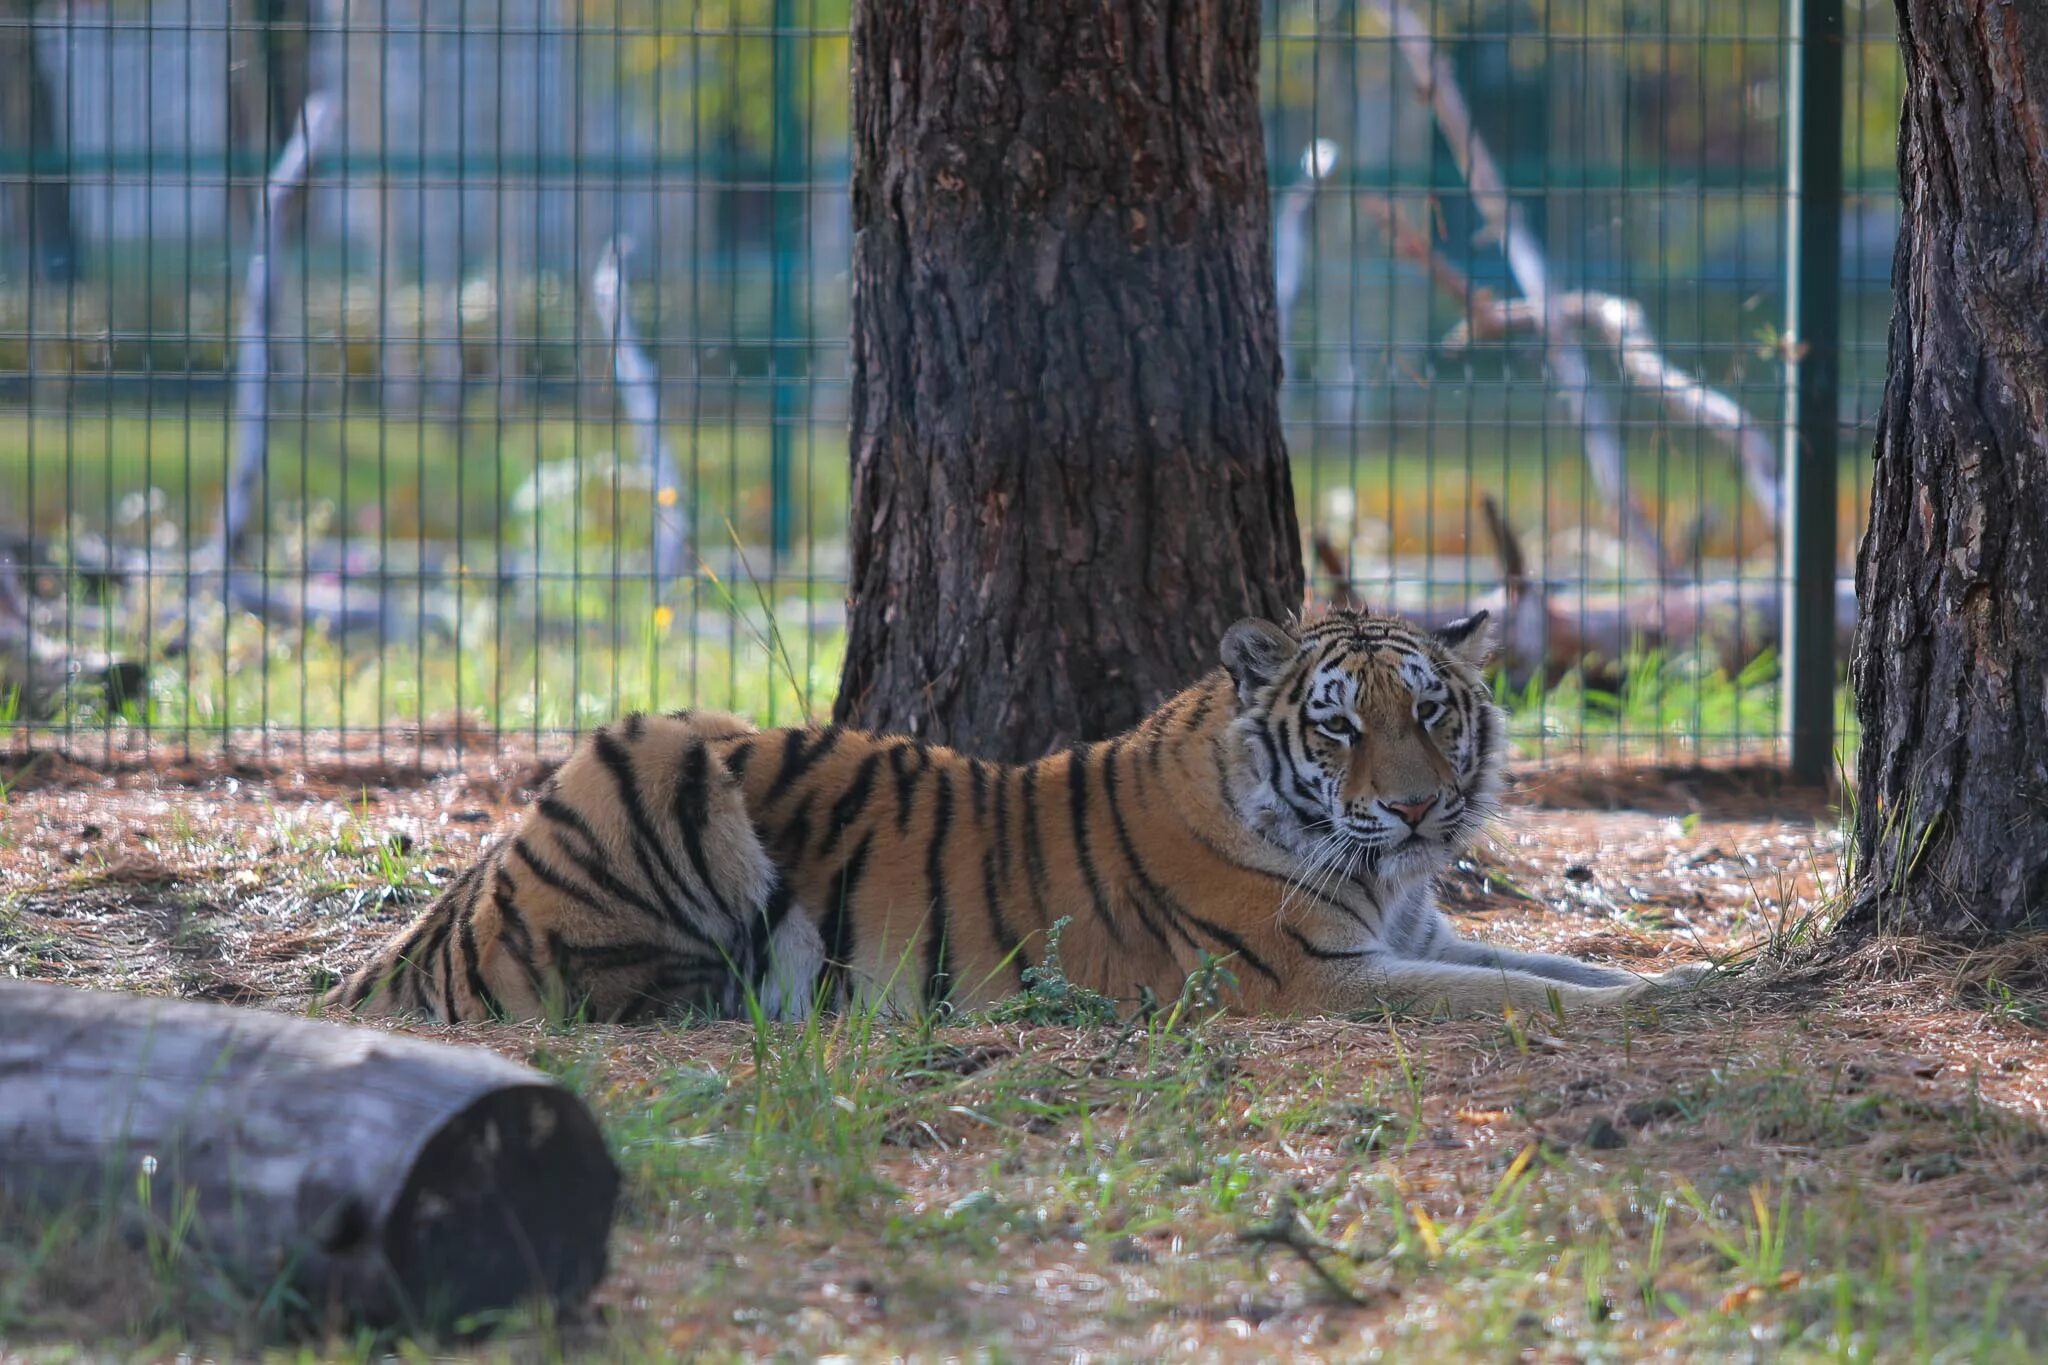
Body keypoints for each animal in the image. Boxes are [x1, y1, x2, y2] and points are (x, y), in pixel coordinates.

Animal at [327, 609, 1712, 1023]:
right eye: (1337, 728)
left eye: (1430, 711)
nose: (1419, 807)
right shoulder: (1312, 975)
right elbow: (1509, 990)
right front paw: (1645, 1005)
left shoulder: (1415, 930)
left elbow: (1551, 960)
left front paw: (1687, 982)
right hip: (649, 750)